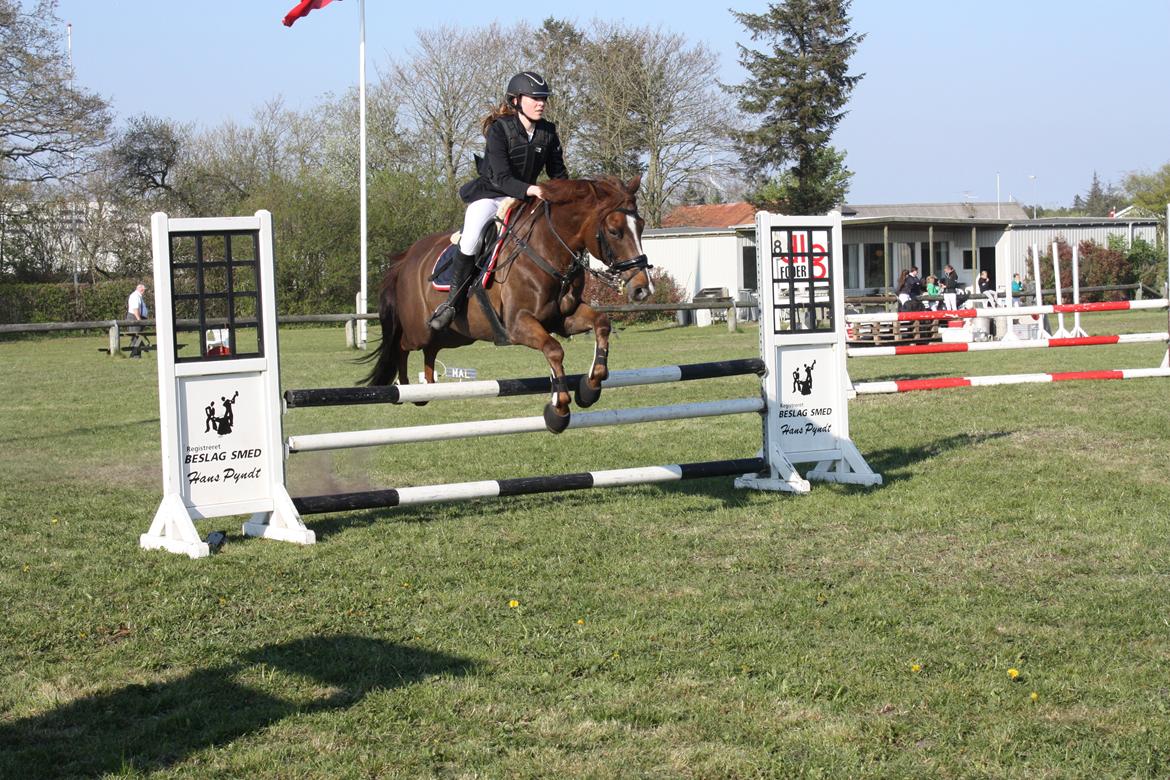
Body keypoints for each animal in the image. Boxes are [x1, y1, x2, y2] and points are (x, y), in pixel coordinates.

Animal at [362, 176, 655, 432]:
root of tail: (406, 257)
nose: (643, 288)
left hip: (455, 336)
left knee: (431, 349)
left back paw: (427, 386)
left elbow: (601, 324)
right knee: (402, 346)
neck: (548, 249)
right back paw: (408, 387)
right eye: (614, 231)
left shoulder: (564, 318)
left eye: (640, 226)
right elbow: (554, 350)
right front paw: (559, 410)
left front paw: (590, 387)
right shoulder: (517, 324)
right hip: (419, 330)